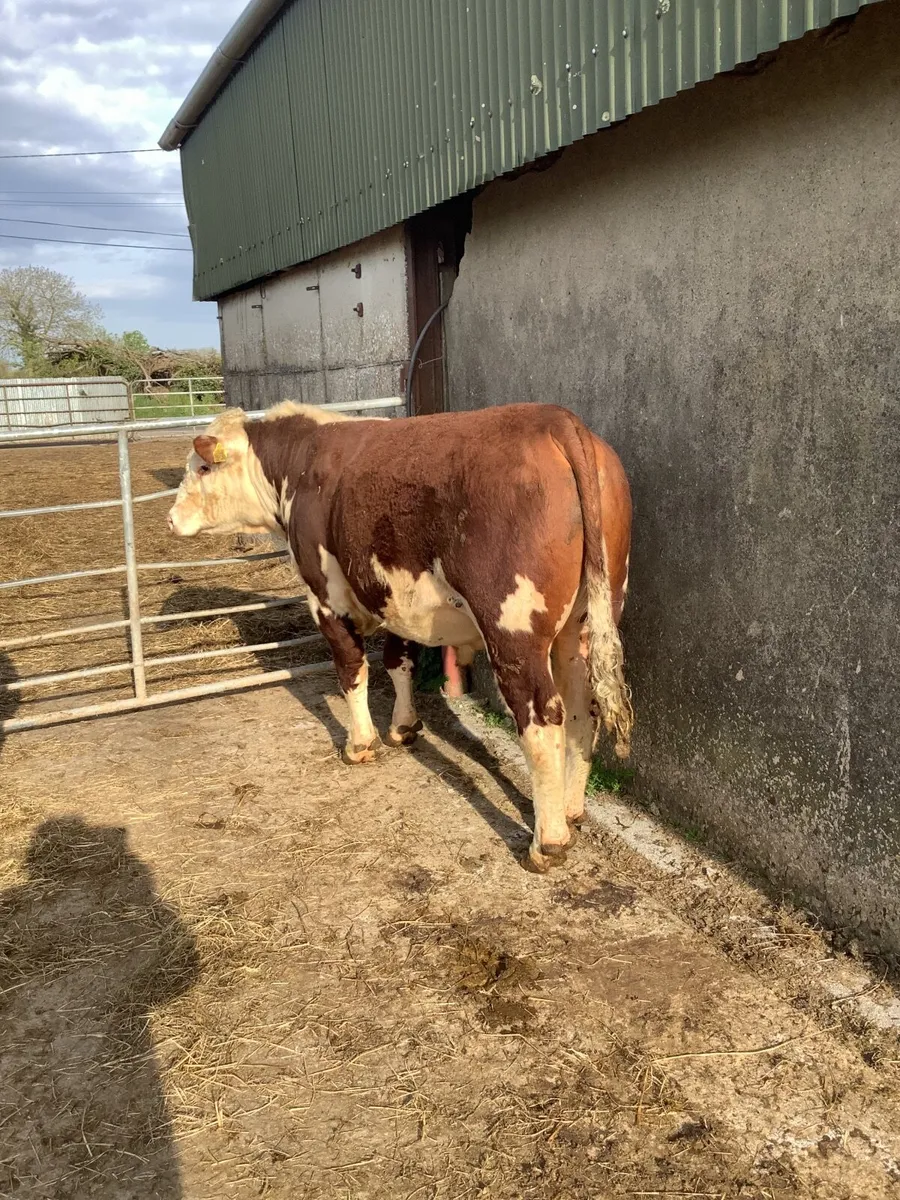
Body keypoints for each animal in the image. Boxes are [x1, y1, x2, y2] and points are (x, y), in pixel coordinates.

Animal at [167, 402, 632, 873]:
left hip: (514, 630)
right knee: (584, 708)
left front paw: (360, 744)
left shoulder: (327, 597)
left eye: (203, 467)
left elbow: (352, 669)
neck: (301, 461)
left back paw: (548, 841)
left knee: (542, 715)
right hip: (586, 620)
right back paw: (572, 809)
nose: (171, 518)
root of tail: (555, 419)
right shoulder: (396, 598)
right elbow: (398, 660)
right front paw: (404, 726)